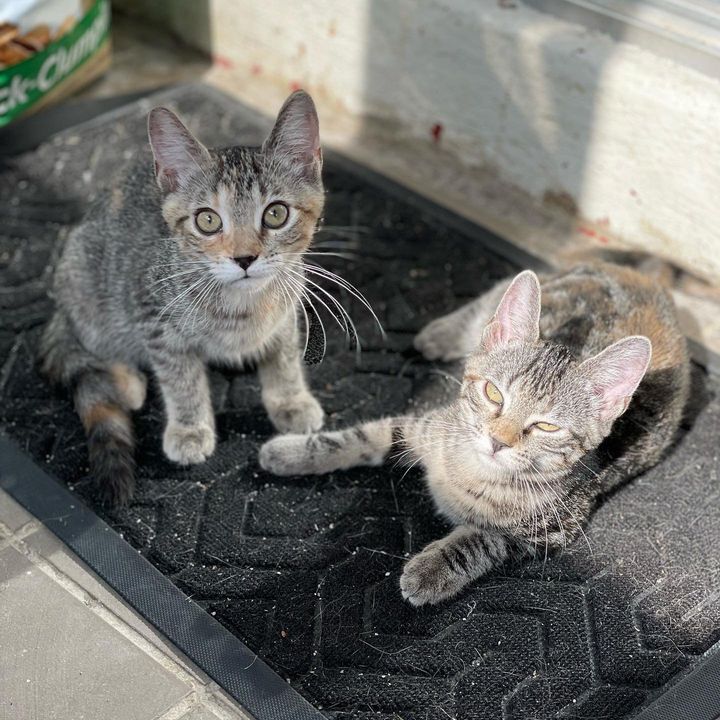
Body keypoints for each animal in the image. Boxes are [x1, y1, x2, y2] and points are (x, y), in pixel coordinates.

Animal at [40, 91, 328, 506]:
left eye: (276, 214)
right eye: (207, 221)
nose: (245, 258)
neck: (242, 307)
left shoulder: (289, 304)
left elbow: (285, 355)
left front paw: (290, 399)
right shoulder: (152, 314)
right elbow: (180, 377)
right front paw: (190, 428)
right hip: (85, 284)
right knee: (88, 343)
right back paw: (127, 382)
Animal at [260, 262, 692, 604]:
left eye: (547, 426)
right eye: (493, 393)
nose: (498, 441)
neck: (470, 472)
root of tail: (647, 279)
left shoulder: (548, 532)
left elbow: (481, 539)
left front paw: (431, 570)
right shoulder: (428, 423)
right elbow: (362, 437)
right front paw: (293, 453)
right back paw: (438, 333)